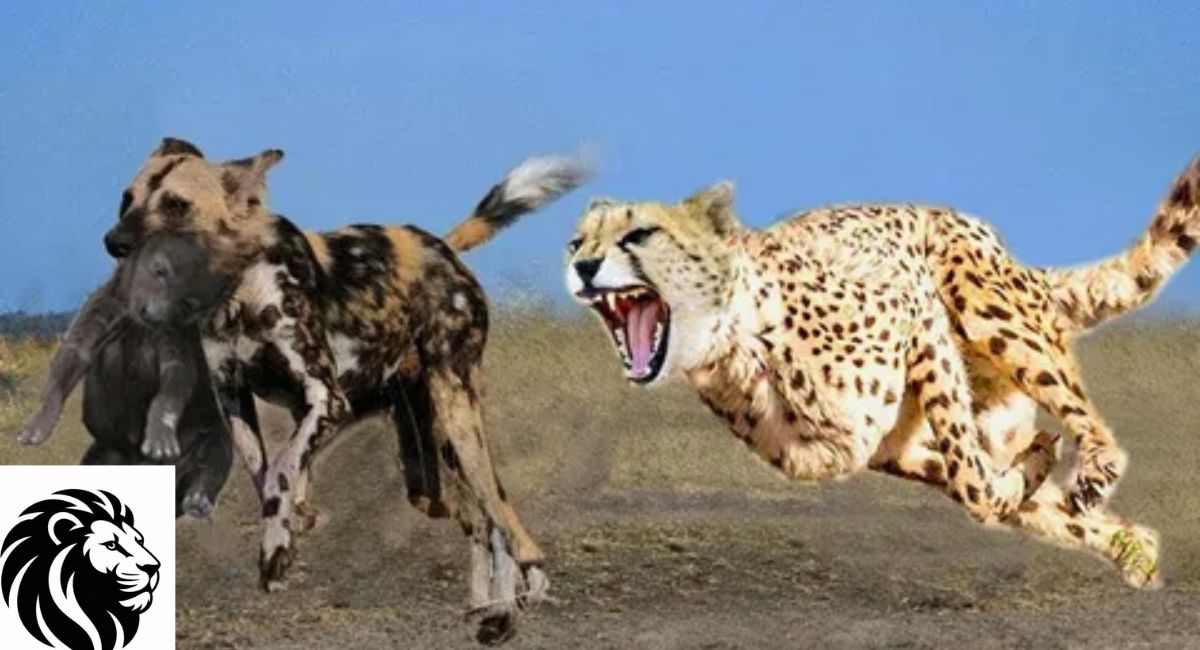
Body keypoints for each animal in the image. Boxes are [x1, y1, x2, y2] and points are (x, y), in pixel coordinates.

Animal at [564, 152, 1200, 588]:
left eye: (639, 233)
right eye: (576, 241)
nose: (582, 265)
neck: (736, 345)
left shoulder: (916, 313)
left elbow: (974, 481)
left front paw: (1038, 465)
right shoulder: (884, 447)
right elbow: (982, 488)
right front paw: (1034, 473)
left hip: (983, 304)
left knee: (1079, 422)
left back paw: (1093, 469)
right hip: (948, 431)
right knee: (1033, 494)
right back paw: (1131, 546)